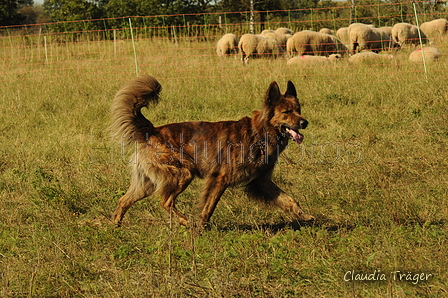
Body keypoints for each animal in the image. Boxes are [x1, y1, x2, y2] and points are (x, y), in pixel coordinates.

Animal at [111, 75, 316, 227]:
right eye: (286, 112)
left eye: (298, 110)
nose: (305, 122)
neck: (259, 134)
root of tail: (153, 130)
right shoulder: (220, 179)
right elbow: (209, 206)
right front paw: (201, 226)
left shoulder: (262, 182)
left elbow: (288, 199)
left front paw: (304, 215)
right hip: (182, 173)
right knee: (166, 202)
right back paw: (185, 221)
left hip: (147, 183)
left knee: (124, 200)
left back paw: (116, 225)